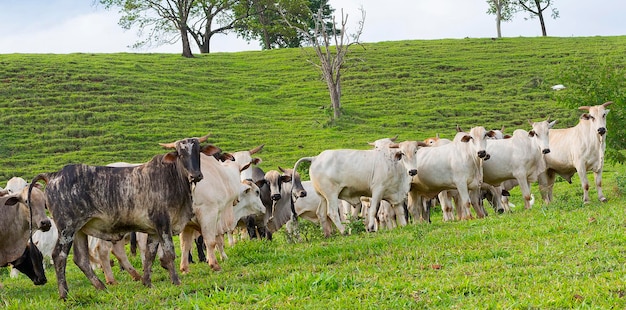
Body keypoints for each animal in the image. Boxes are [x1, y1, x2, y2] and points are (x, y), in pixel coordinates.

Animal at [28, 134, 214, 300]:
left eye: (197, 151)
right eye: (181, 154)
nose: (196, 175)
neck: (172, 178)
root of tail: (53, 175)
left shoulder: (154, 230)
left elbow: (150, 255)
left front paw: (147, 282)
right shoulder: (163, 224)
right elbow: (169, 253)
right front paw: (176, 281)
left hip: (79, 230)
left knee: (81, 259)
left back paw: (101, 287)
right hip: (67, 228)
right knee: (59, 256)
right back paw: (64, 294)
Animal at [292, 142, 420, 235]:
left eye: (415, 152)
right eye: (402, 153)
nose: (413, 171)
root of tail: (314, 158)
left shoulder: (396, 196)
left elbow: (401, 213)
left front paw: (404, 226)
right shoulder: (377, 190)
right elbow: (373, 210)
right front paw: (371, 228)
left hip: (322, 196)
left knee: (321, 213)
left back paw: (328, 234)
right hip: (331, 194)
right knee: (332, 212)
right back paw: (343, 231)